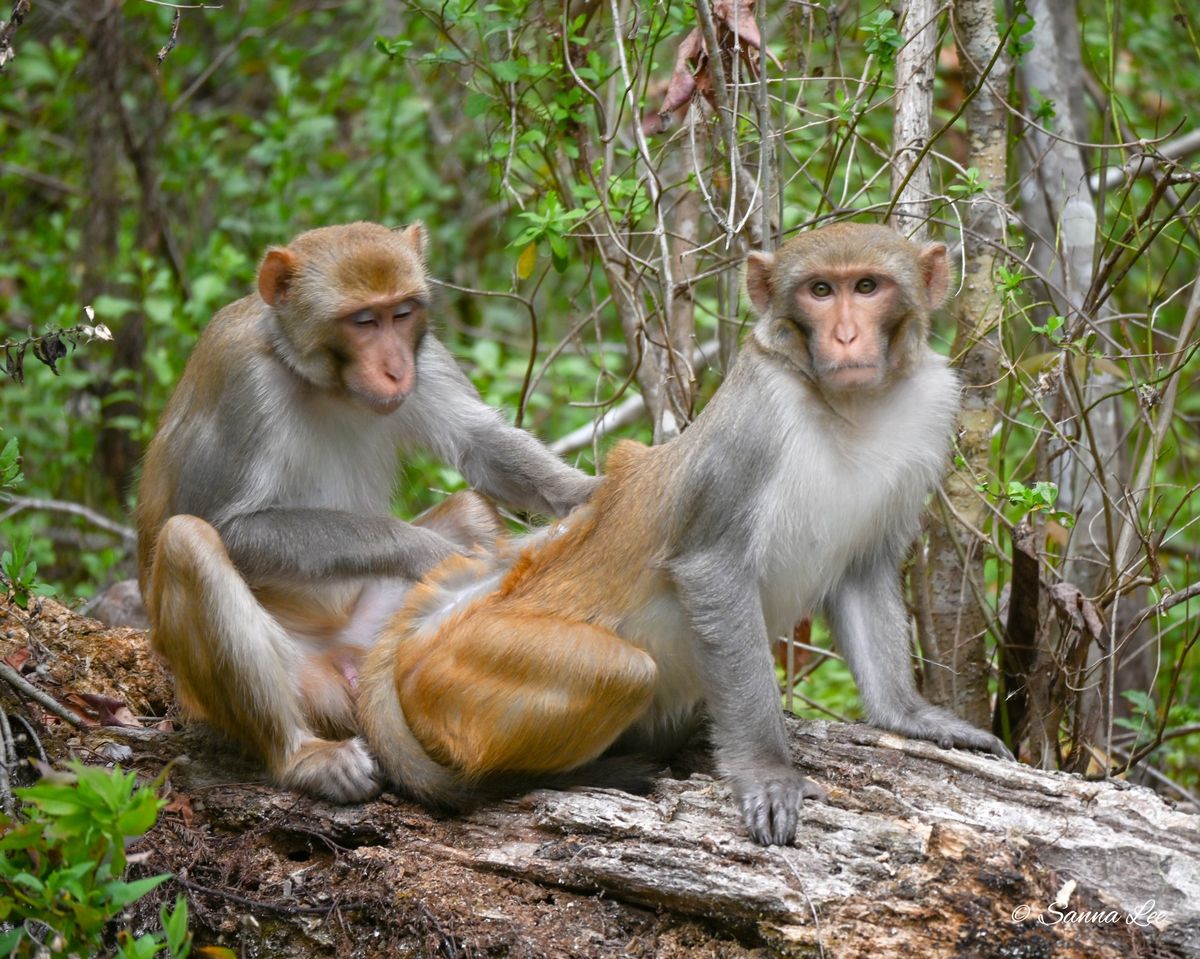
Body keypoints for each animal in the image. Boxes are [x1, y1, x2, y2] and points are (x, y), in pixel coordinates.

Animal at [137, 223, 600, 801]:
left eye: (401, 313)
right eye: (363, 321)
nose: (396, 369)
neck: (319, 380)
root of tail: (342, 666)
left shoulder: (426, 356)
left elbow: (480, 446)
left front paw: (589, 491)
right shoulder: (241, 381)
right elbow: (228, 525)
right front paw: (433, 553)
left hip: (376, 632)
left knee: (471, 507)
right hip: (285, 684)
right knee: (189, 541)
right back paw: (300, 755)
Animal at [357, 220, 1012, 844]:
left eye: (868, 286)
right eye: (821, 291)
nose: (846, 337)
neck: (850, 407)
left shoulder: (931, 406)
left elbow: (865, 567)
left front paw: (911, 717)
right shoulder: (756, 421)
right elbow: (712, 566)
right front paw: (767, 771)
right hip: (458, 674)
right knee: (621, 672)